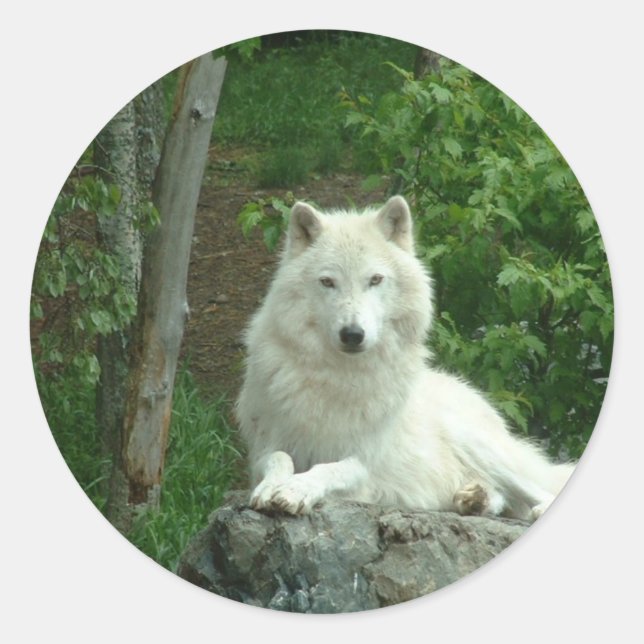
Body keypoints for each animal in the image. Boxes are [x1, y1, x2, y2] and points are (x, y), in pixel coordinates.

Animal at [236, 196, 574, 521]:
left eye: (375, 279)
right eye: (328, 282)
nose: (352, 334)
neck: (342, 378)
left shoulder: (364, 463)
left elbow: (327, 469)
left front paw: (295, 490)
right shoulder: (264, 447)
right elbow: (279, 459)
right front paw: (270, 487)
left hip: (475, 443)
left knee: (535, 491)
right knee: (501, 497)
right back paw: (473, 499)